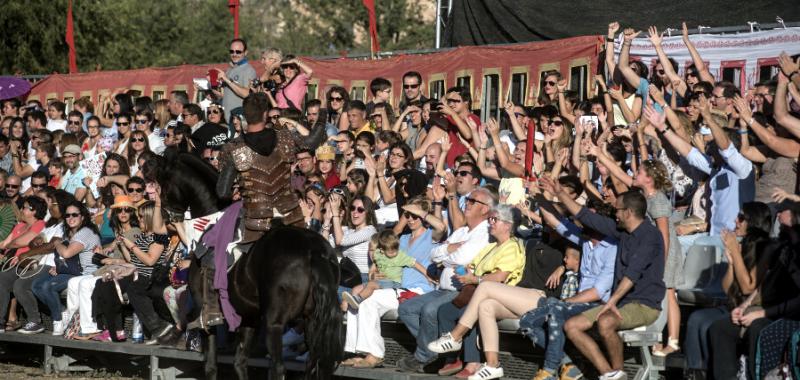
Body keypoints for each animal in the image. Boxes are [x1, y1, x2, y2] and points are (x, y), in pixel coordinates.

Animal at [141, 153, 340, 378]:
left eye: (163, 185)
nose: (165, 221)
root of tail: (312, 252)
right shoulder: (248, 317)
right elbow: (240, 362)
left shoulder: (205, 312)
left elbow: (211, 365)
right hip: (312, 319)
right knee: (314, 365)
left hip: (274, 322)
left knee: (278, 367)